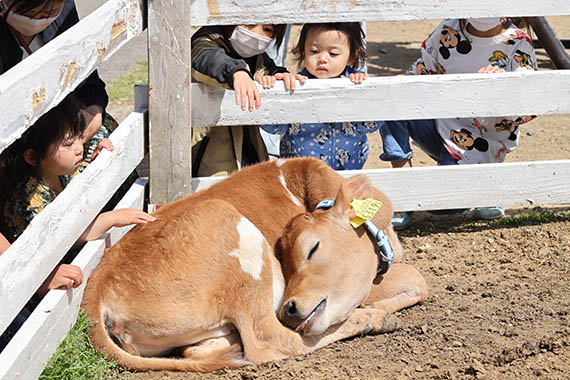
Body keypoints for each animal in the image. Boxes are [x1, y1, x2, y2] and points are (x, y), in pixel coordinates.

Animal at [81, 157, 426, 372]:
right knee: (272, 342)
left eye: (312, 247)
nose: (290, 309)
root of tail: (99, 282)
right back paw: (372, 318)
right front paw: (377, 308)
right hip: (231, 234)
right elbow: (417, 279)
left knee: (197, 350)